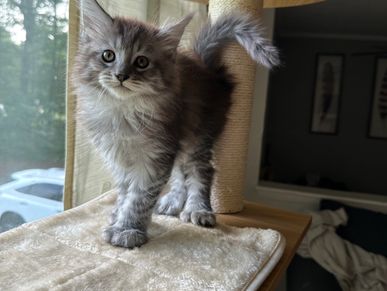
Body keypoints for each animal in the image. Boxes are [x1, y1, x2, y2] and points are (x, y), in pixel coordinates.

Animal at [73, 0, 278, 250]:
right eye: (108, 55)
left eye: (142, 62)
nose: (121, 75)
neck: (123, 112)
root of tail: (205, 67)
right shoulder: (121, 158)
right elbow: (125, 193)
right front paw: (119, 216)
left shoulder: (155, 156)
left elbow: (139, 197)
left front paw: (128, 229)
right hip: (182, 141)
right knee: (181, 174)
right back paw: (172, 202)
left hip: (198, 138)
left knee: (202, 171)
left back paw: (198, 209)